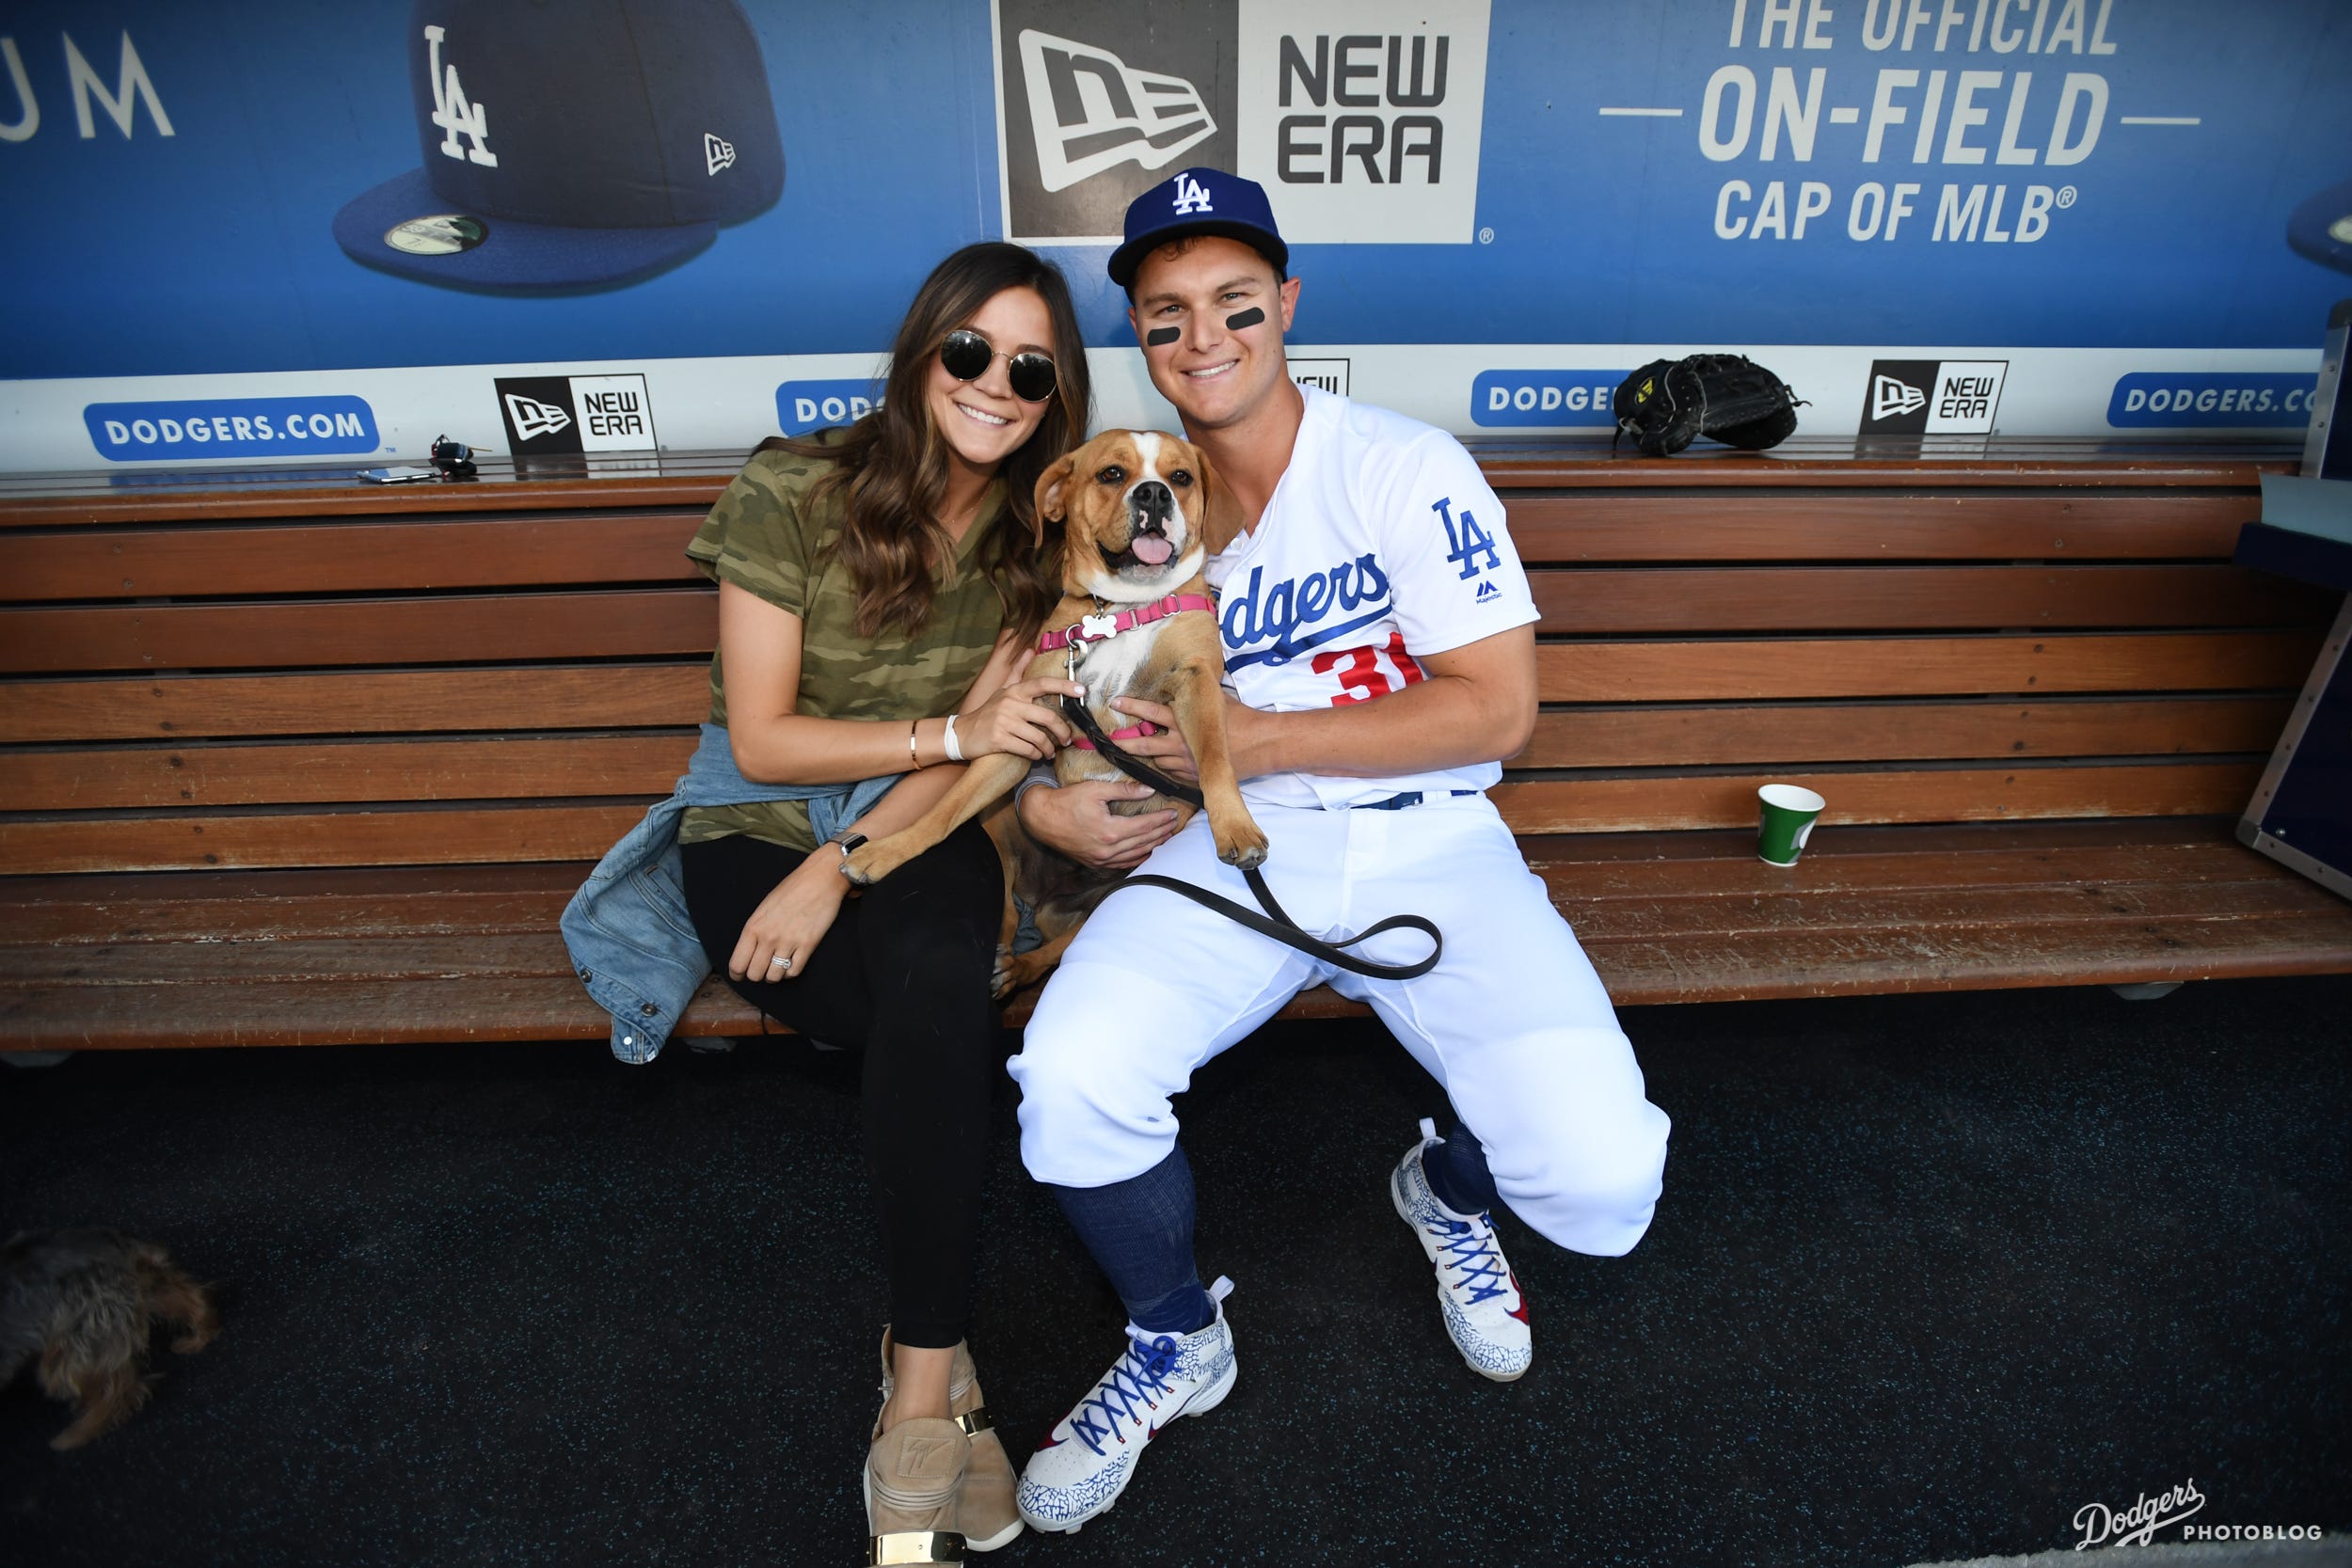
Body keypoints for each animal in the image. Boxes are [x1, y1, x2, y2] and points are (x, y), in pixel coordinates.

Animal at [2, 1231, 217, 1457]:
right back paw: (197, 1337)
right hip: (133, 1292)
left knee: (115, 1390)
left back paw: (78, 1433)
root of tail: (114, 1244)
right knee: (187, 1297)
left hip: (80, 1335)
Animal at [837, 430, 1261, 991]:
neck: (1122, 609)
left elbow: (1214, 760)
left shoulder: (1197, 687)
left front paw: (1236, 826)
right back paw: (1003, 957)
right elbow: (945, 810)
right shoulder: (1028, 726)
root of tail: (1047, 894)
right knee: (1007, 903)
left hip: (1118, 892)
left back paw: (1019, 965)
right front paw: (886, 851)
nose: (1154, 495)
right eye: (1111, 474)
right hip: (1001, 827)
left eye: (1181, 477)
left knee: (1056, 949)